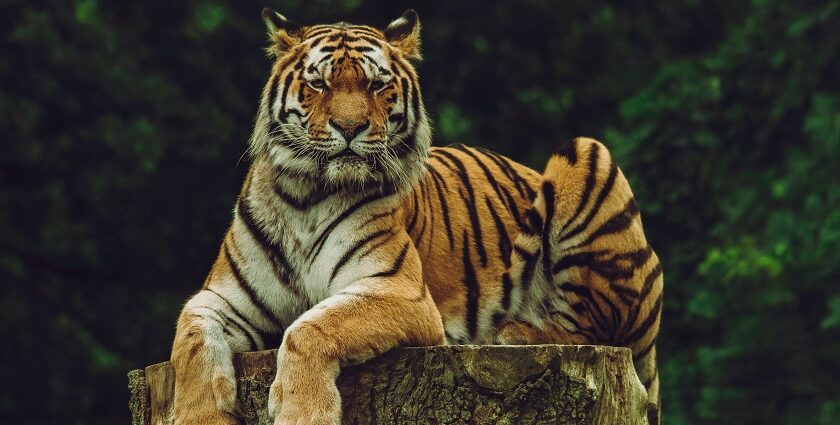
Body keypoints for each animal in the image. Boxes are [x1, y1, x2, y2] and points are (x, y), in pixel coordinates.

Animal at [171, 7, 668, 424]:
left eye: (376, 85)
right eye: (319, 84)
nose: (349, 128)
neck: (307, 196)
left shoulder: (399, 290)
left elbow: (307, 327)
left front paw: (302, 413)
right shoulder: (221, 298)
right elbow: (190, 342)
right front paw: (200, 416)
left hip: (586, 154)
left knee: (595, 329)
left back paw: (511, 332)